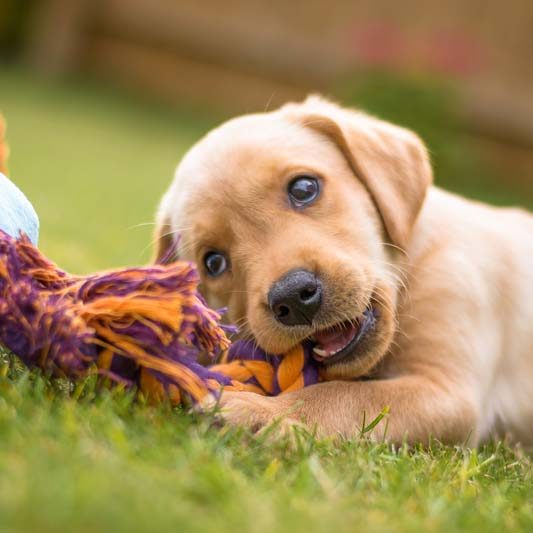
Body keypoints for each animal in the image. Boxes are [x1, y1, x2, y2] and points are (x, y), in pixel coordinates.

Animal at [154, 96, 532, 444]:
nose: (294, 297)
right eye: (213, 262)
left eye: (304, 188)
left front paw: (259, 411)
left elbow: (345, 395)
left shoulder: (446, 389)